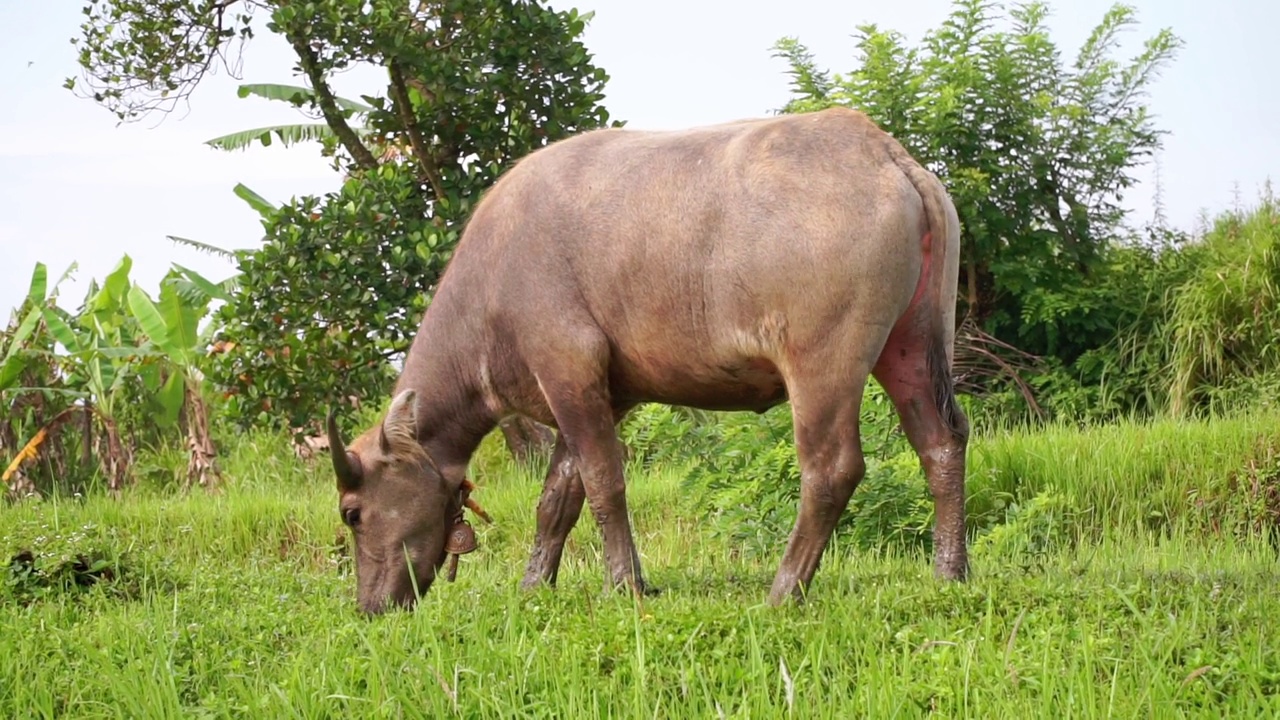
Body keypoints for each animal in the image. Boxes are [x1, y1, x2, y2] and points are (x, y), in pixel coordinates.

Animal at [325, 105, 962, 609]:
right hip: (914, 343)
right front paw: (535, 584)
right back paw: (950, 572)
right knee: (943, 442)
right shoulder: (598, 394)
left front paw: (624, 584)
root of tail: (885, 155)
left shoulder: (568, 367)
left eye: (352, 512)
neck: (492, 279)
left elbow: (604, 483)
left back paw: (784, 590)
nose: (370, 606)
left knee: (832, 468)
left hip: (822, 363)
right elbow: (558, 498)